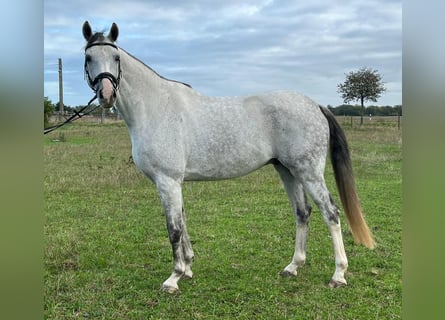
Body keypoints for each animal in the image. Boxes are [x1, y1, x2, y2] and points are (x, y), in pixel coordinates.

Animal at [81, 21, 372, 292]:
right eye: (89, 58)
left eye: (116, 58)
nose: (107, 95)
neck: (156, 107)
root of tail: (315, 105)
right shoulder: (175, 183)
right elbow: (183, 222)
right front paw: (188, 268)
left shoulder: (167, 181)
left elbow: (174, 229)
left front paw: (174, 278)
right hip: (288, 171)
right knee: (302, 213)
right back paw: (293, 267)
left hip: (309, 172)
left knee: (330, 213)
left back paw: (338, 274)